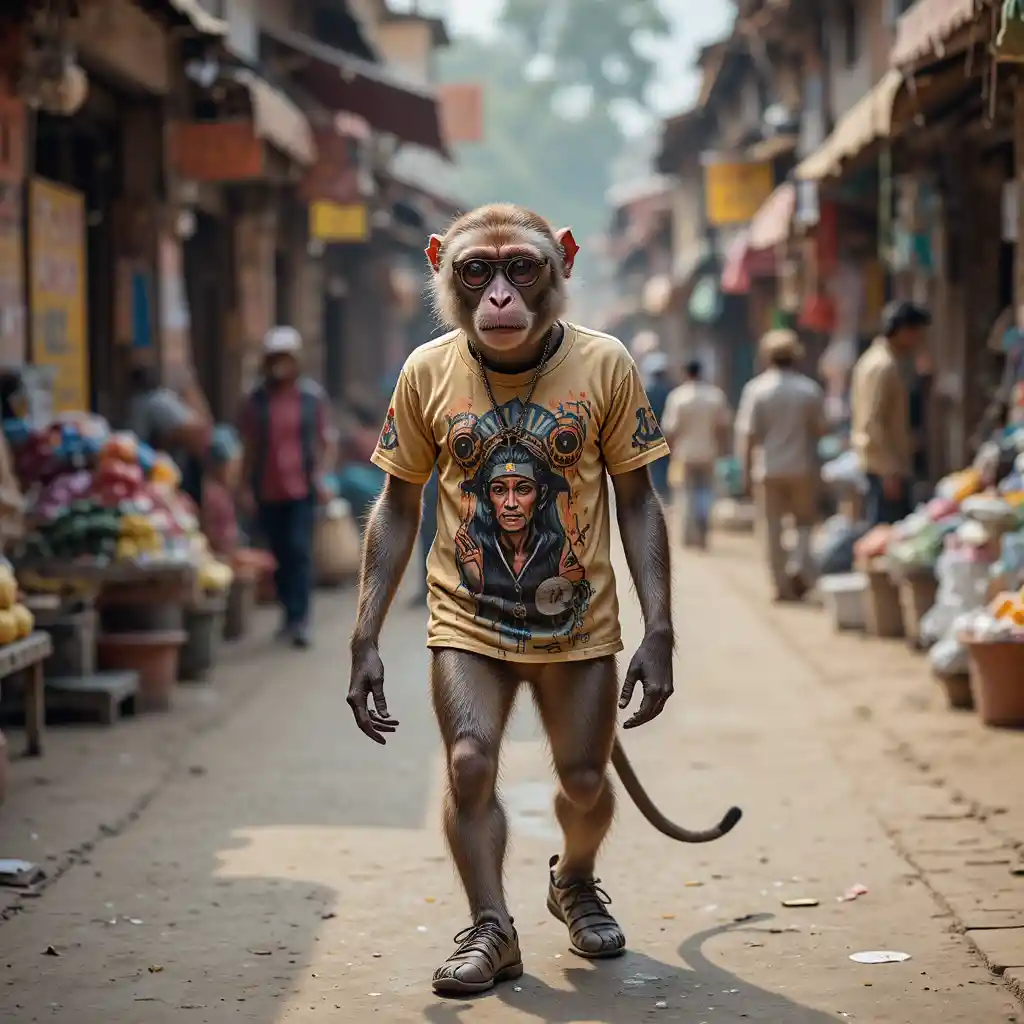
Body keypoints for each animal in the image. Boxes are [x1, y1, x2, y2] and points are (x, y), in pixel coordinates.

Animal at [348, 203, 741, 997]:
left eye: (521, 267)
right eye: (476, 269)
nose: (499, 296)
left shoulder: (625, 379)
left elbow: (636, 498)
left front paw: (656, 658)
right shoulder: (409, 385)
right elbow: (401, 506)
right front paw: (484, 944)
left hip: (579, 683)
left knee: (584, 776)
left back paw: (578, 898)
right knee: (477, 766)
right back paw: (492, 938)